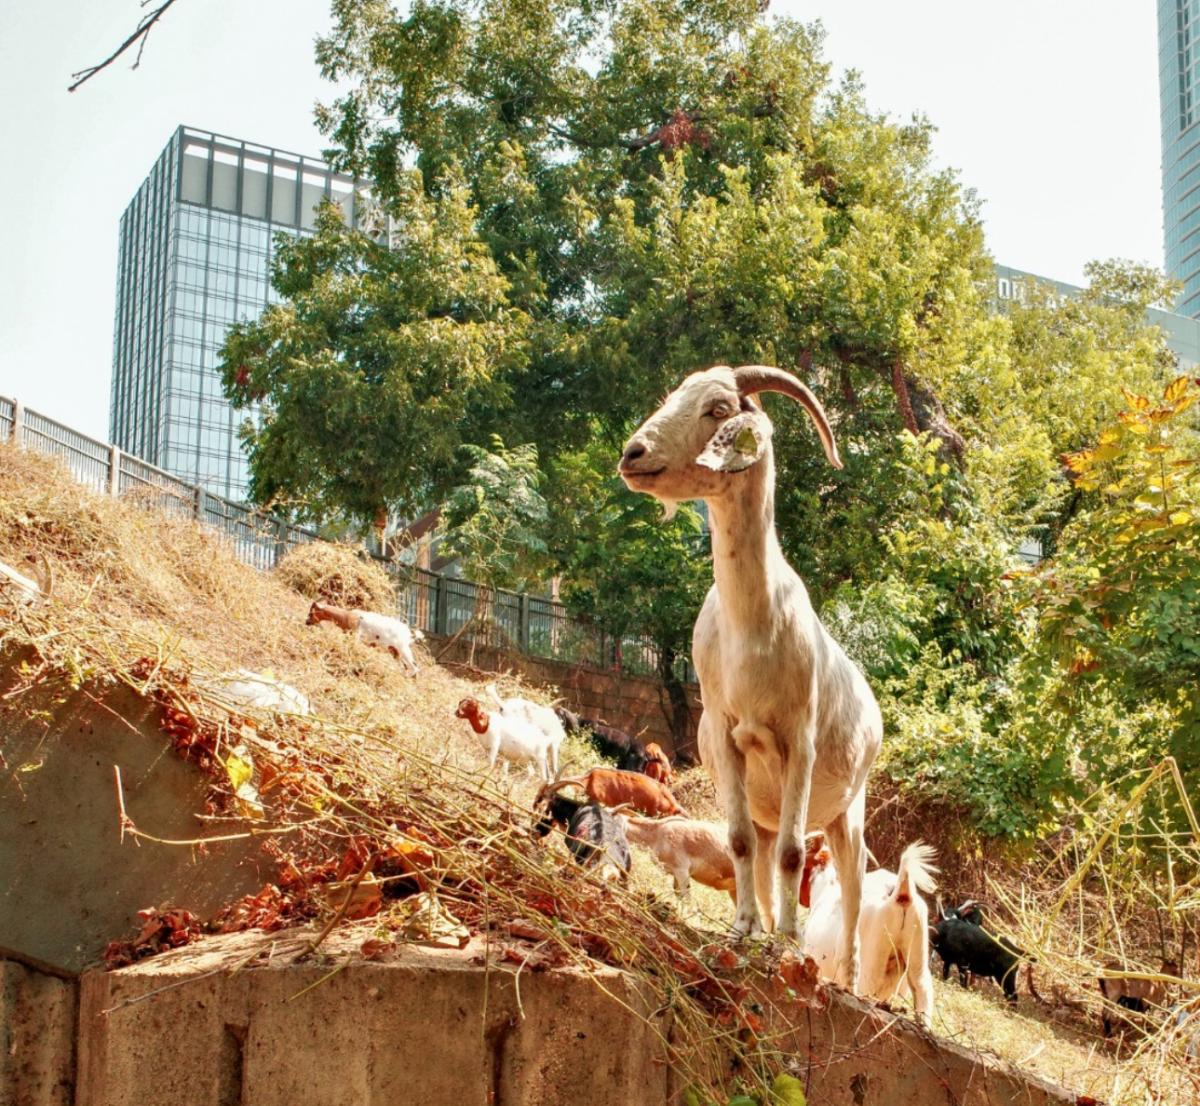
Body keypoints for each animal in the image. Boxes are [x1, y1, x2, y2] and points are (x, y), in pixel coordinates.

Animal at [620, 364, 880, 986]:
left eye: (717, 408)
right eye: (673, 397)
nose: (633, 454)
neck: (754, 633)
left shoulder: (798, 741)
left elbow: (793, 853)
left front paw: (788, 942)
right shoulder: (725, 730)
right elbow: (738, 842)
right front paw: (744, 931)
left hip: (850, 808)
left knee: (852, 886)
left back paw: (848, 977)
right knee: (761, 854)